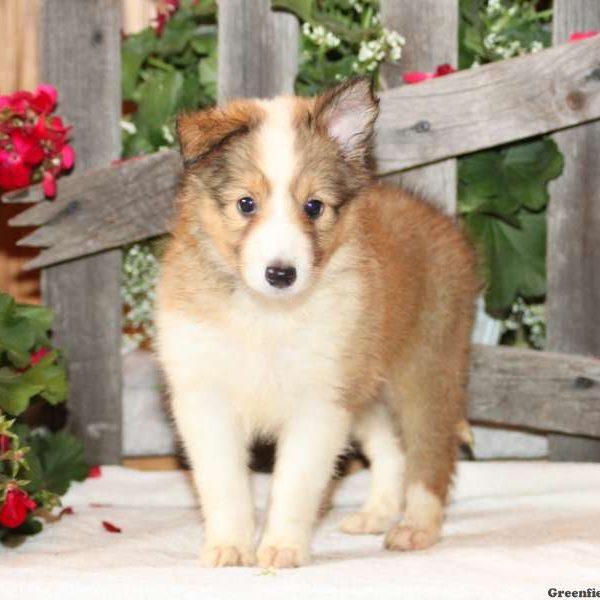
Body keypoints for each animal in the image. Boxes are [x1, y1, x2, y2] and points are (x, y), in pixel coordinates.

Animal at [154, 77, 478, 568]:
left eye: (314, 207)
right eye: (246, 203)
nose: (281, 274)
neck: (265, 316)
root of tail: (444, 225)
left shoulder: (319, 402)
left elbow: (295, 484)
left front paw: (281, 550)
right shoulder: (206, 397)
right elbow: (224, 484)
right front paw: (230, 547)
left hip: (426, 368)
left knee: (431, 453)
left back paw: (415, 527)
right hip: (367, 388)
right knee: (392, 450)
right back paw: (377, 514)